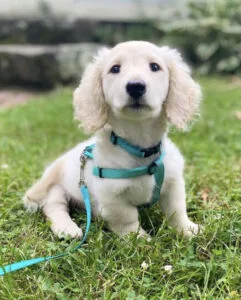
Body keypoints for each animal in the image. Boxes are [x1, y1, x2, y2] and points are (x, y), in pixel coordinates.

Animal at [24, 40, 201, 239]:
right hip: (57, 187)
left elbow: (176, 210)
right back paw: (67, 228)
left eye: (155, 66)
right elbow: (127, 219)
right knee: (53, 206)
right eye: (115, 69)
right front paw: (140, 239)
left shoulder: (174, 182)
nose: (135, 86)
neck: (139, 147)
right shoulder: (112, 197)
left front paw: (187, 229)